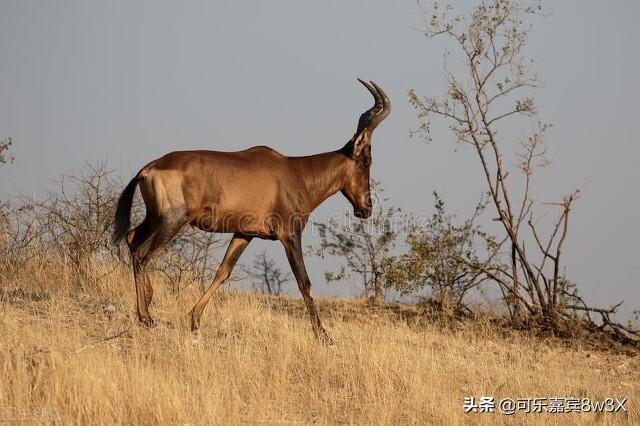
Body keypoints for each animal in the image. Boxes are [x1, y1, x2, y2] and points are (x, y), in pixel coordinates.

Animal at [112, 79, 390, 342]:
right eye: (366, 160)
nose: (366, 208)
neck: (296, 173)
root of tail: (147, 168)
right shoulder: (290, 235)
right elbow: (304, 282)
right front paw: (324, 336)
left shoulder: (244, 234)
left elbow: (222, 272)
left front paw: (194, 319)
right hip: (172, 220)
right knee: (143, 255)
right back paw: (146, 317)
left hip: (155, 218)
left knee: (132, 239)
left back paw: (148, 303)